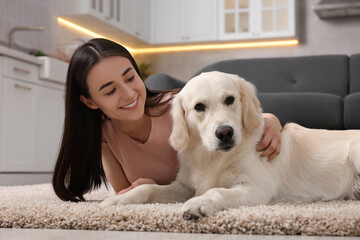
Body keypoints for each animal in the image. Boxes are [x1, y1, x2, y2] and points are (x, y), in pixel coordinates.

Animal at [100, 71, 360, 219]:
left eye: (230, 99)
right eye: (199, 107)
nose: (224, 133)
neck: (211, 158)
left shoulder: (255, 188)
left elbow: (216, 191)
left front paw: (199, 204)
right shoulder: (185, 185)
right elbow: (150, 187)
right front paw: (120, 199)